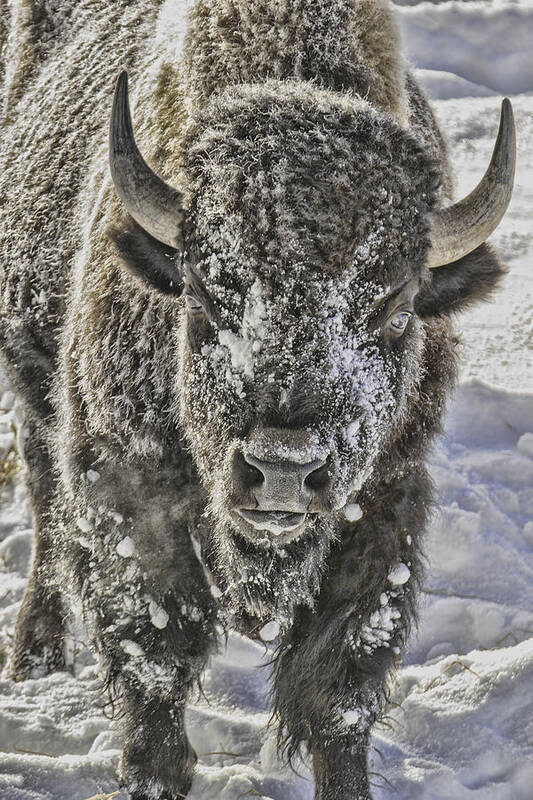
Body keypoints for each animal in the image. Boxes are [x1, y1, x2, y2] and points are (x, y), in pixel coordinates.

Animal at [0, 1, 516, 800]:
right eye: (206, 293)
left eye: (395, 311)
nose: (282, 470)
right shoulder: (126, 486)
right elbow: (156, 649)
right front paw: (151, 778)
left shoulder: (384, 501)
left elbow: (339, 684)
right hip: (35, 397)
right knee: (48, 512)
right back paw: (36, 657)